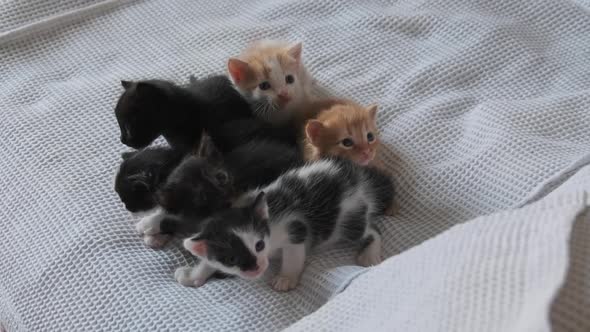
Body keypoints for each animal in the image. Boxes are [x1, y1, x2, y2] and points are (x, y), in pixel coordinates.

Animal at [177, 158, 398, 290]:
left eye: (259, 245)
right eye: (231, 259)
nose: (256, 267)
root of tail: (360, 179)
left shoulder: (294, 228)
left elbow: (293, 255)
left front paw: (286, 278)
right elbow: (207, 261)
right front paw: (192, 275)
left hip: (350, 217)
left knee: (371, 230)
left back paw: (370, 253)